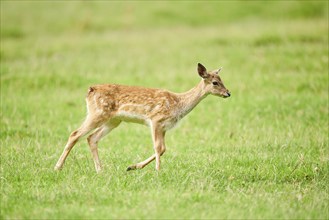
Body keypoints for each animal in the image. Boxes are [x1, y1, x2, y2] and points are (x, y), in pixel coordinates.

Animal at [53, 62, 229, 173]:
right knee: (75, 134)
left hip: (113, 120)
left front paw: (132, 167)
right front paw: (158, 171)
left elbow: (163, 149)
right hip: (97, 113)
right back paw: (57, 167)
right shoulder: (155, 120)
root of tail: (90, 90)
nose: (228, 93)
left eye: (222, 80)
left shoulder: (164, 127)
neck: (178, 103)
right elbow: (158, 147)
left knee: (92, 138)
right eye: (215, 82)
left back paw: (100, 170)